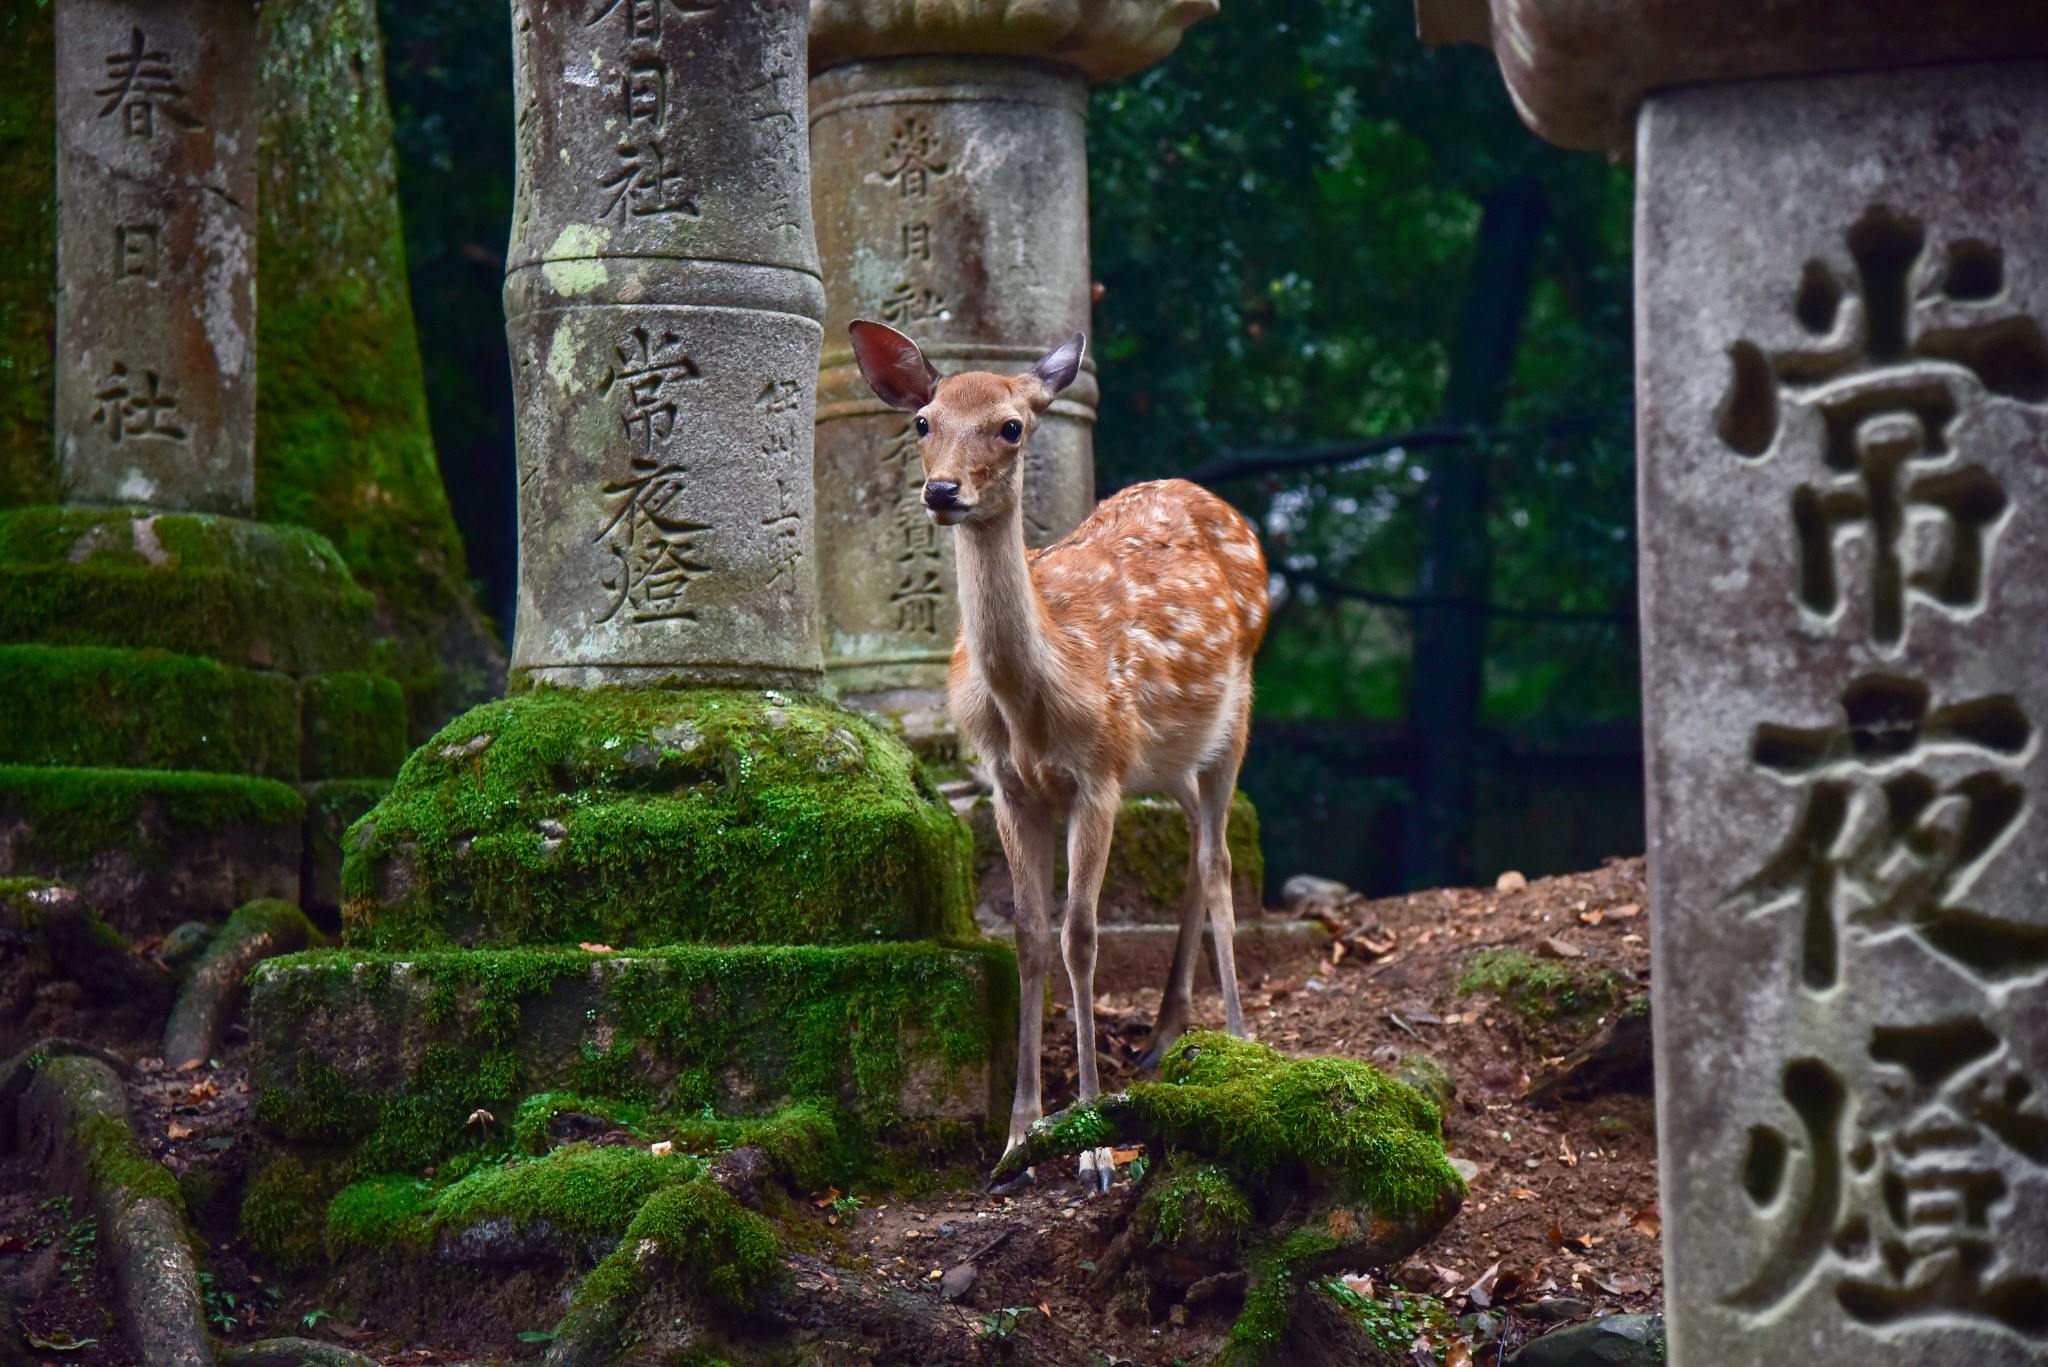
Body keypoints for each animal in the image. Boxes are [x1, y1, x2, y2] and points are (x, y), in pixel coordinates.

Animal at [843, 317, 1261, 1188]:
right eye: (923, 421)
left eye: (1011, 426)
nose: (942, 492)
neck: (1035, 704)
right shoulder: (1010, 785)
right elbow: (1029, 935)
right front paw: (1018, 1138)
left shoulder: (1097, 774)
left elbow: (1081, 934)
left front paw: (1095, 1142)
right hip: (1163, 759)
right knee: (1193, 853)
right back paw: (1162, 1037)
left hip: (1230, 720)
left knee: (1217, 858)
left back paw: (1239, 1038)